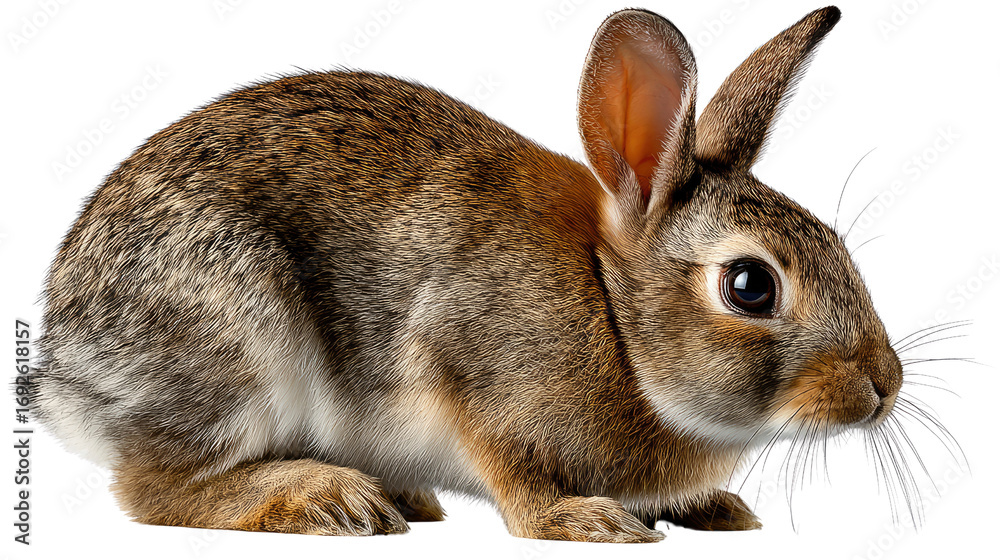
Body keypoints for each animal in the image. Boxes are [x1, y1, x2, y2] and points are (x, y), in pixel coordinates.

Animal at [31, 5, 903, 543]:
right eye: (750, 286)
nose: (885, 384)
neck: (615, 317)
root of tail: (62, 370)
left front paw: (716, 508)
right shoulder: (471, 377)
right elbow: (515, 478)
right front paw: (585, 522)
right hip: (235, 335)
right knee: (154, 490)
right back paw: (328, 496)